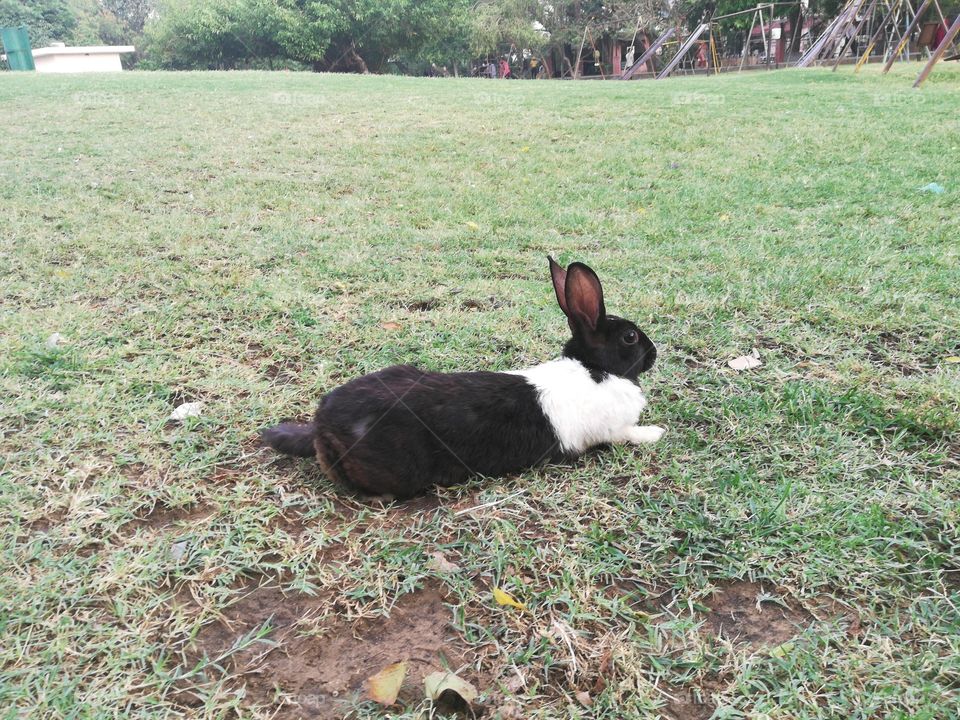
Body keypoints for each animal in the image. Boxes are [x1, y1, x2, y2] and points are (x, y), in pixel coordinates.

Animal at [262, 257, 665, 498]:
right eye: (630, 337)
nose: (654, 353)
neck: (596, 369)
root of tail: (322, 424)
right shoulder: (612, 431)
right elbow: (629, 434)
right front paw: (656, 433)